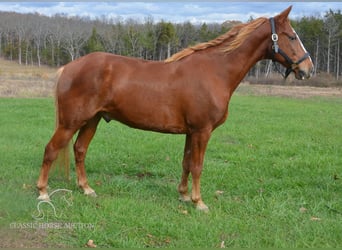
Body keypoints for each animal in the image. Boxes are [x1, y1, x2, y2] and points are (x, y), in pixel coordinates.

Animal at [36, 6, 312, 211]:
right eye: (291, 36)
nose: (308, 69)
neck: (215, 71)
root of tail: (70, 67)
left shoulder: (192, 132)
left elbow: (186, 162)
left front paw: (183, 195)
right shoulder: (202, 130)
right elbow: (198, 165)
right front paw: (199, 202)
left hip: (91, 120)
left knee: (80, 150)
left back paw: (86, 188)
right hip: (71, 122)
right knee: (51, 150)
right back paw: (43, 192)